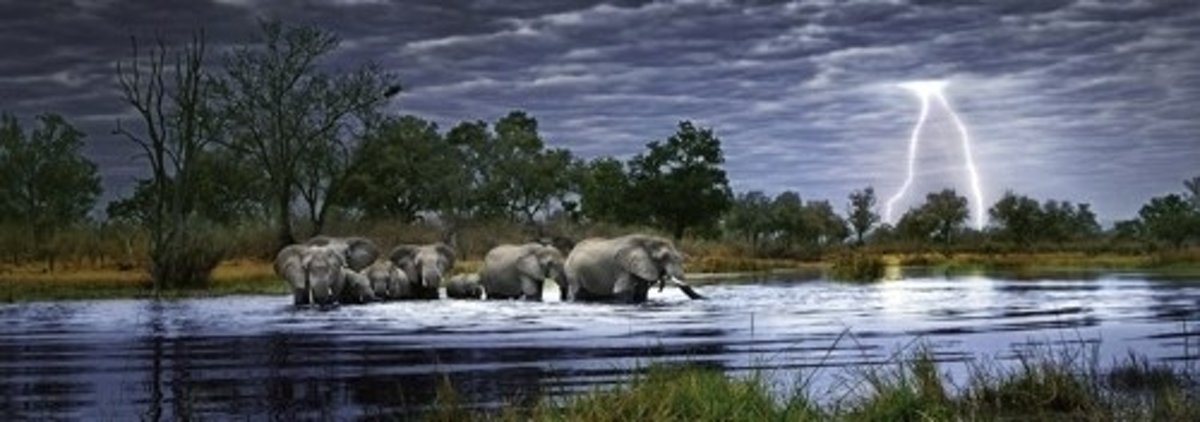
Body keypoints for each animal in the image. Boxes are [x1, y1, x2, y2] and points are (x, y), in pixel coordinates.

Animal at [564, 234, 705, 303]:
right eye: (663, 257)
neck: (648, 240)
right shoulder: (623, 268)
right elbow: (621, 290)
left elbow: (642, 292)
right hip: (572, 272)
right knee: (577, 292)